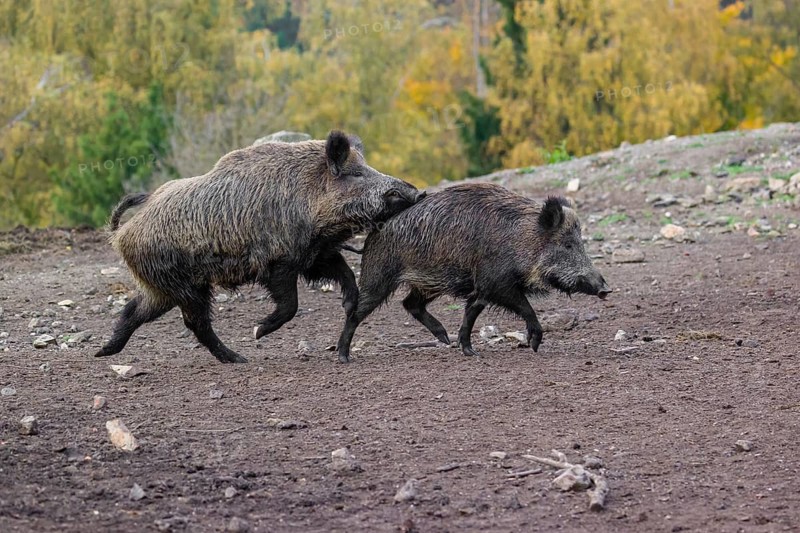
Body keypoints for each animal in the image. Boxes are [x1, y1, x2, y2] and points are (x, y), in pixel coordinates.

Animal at [95, 130, 425, 363]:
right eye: (356, 173)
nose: (417, 192)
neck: (309, 202)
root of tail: (122, 234)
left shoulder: (315, 256)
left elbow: (345, 274)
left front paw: (348, 304)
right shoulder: (279, 262)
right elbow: (290, 305)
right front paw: (257, 331)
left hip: (165, 288)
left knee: (134, 310)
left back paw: (103, 352)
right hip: (183, 286)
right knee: (195, 323)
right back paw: (239, 358)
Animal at [337, 182, 610, 362]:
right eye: (567, 245)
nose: (605, 288)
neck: (522, 240)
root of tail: (373, 233)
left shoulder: (482, 288)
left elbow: (471, 313)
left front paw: (470, 352)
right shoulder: (496, 282)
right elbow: (525, 307)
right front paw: (533, 345)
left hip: (429, 282)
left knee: (410, 303)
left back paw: (444, 338)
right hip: (379, 276)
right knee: (356, 311)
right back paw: (343, 357)